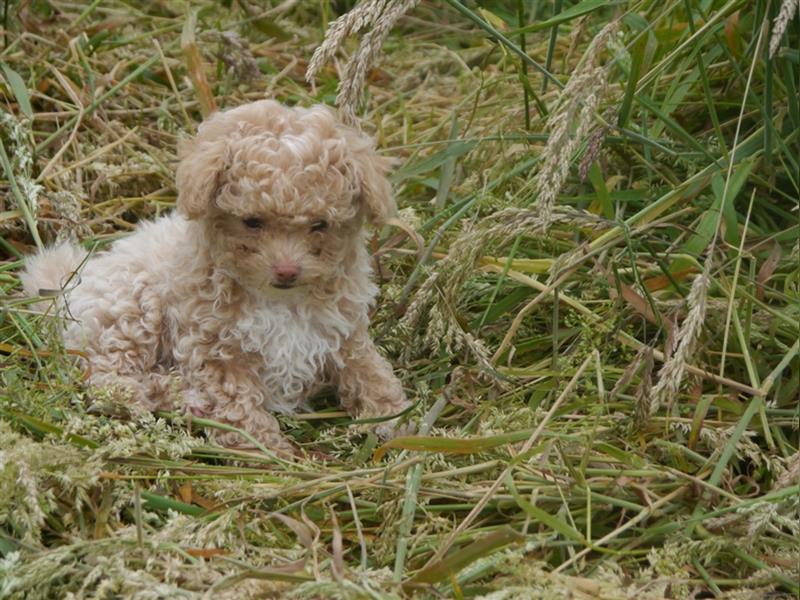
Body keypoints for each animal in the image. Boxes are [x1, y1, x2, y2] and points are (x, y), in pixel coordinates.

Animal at [21, 99, 410, 454]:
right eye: (252, 221)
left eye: (320, 224)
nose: (286, 270)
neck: (280, 301)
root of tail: (74, 282)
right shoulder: (217, 353)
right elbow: (239, 407)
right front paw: (268, 452)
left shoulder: (343, 332)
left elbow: (369, 371)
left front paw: (394, 419)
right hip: (131, 307)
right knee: (107, 372)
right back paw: (156, 397)